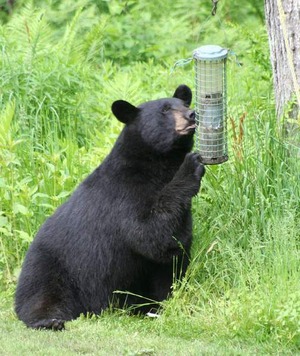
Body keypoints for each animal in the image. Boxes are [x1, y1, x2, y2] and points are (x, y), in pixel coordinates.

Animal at [15, 85, 205, 330]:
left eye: (183, 103)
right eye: (165, 110)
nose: (192, 114)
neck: (156, 166)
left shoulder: (178, 216)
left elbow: (171, 251)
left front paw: (163, 307)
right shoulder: (124, 195)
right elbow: (148, 233)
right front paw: (191, 166)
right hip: (51, 266)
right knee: (43, 296)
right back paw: (50, 320)